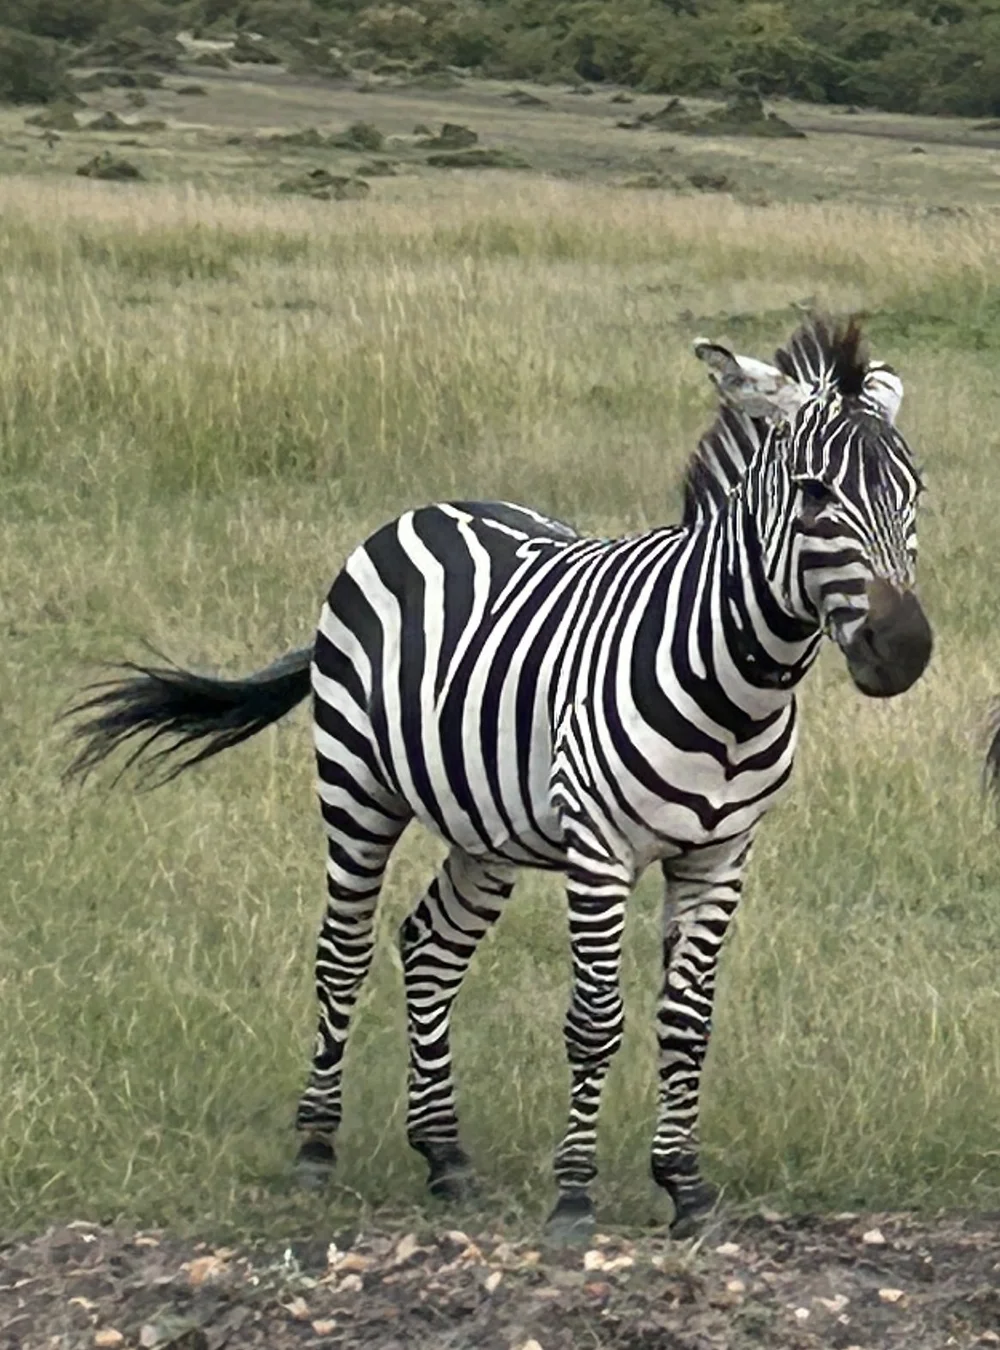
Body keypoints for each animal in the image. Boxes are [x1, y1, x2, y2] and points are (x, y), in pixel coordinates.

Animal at [64, 315, 932, 1240]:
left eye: (915, 492)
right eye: (814, 494)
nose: (904, 650)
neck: (732, 689)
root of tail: (430, 509)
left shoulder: (721, 856)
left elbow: (687, 1025)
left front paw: (686, 1187)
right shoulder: (599, 851)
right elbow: (595, 1022)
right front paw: (575, 1196)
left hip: (489, 829)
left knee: (430, 947)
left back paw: (445, 1154)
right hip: (355, 788)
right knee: (342, 954)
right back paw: (315, 1147)